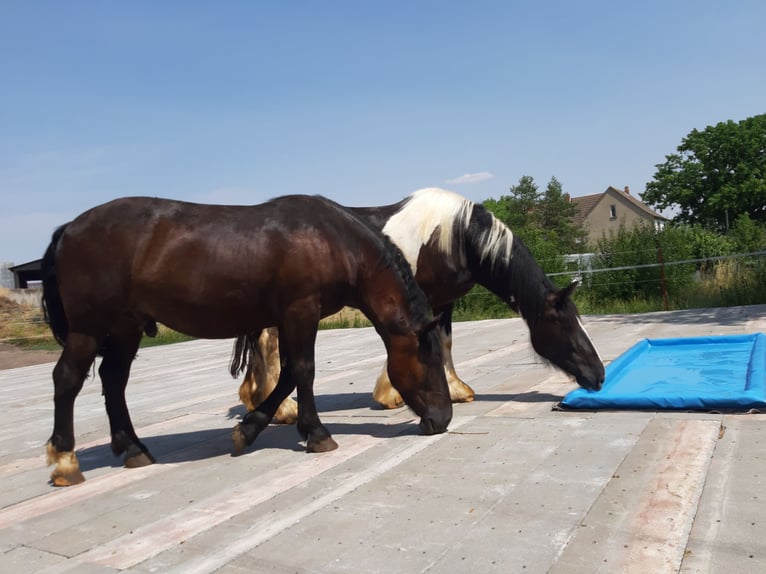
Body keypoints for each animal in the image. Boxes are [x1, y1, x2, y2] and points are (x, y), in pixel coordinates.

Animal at [40, 194, 452, 486]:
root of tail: (69, 228)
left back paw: (133, 448)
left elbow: (287, 376)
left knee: (113, 379)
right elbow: (303, 371)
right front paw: (318, 434)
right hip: (89, 327)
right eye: (428, 359)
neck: (331, 240)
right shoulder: (301, 311)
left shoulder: (287, 318)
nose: (442, 419)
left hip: (126, 326)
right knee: (67, 379)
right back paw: (65, 461)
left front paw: (248, 430)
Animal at [236, 187, 605, 423]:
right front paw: (391, 395)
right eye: (565, 326)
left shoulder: (445, 300)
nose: (599, 376)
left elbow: (444, 342)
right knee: (269, 346)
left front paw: (455, 389)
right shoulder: (423, 298)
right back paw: (282, 410)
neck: (455, 237)